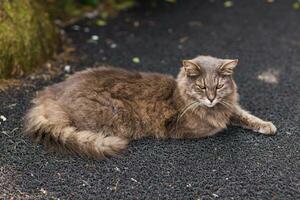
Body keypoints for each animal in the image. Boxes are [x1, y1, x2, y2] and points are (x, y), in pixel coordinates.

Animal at [23, 55, 276, 159]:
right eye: (202, 87)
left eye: (219, 86)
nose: (212, 99)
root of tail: (49, 93)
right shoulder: (187, 127)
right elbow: (219, 125)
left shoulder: (230, 107)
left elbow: (244, 115)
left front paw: (267, 126)